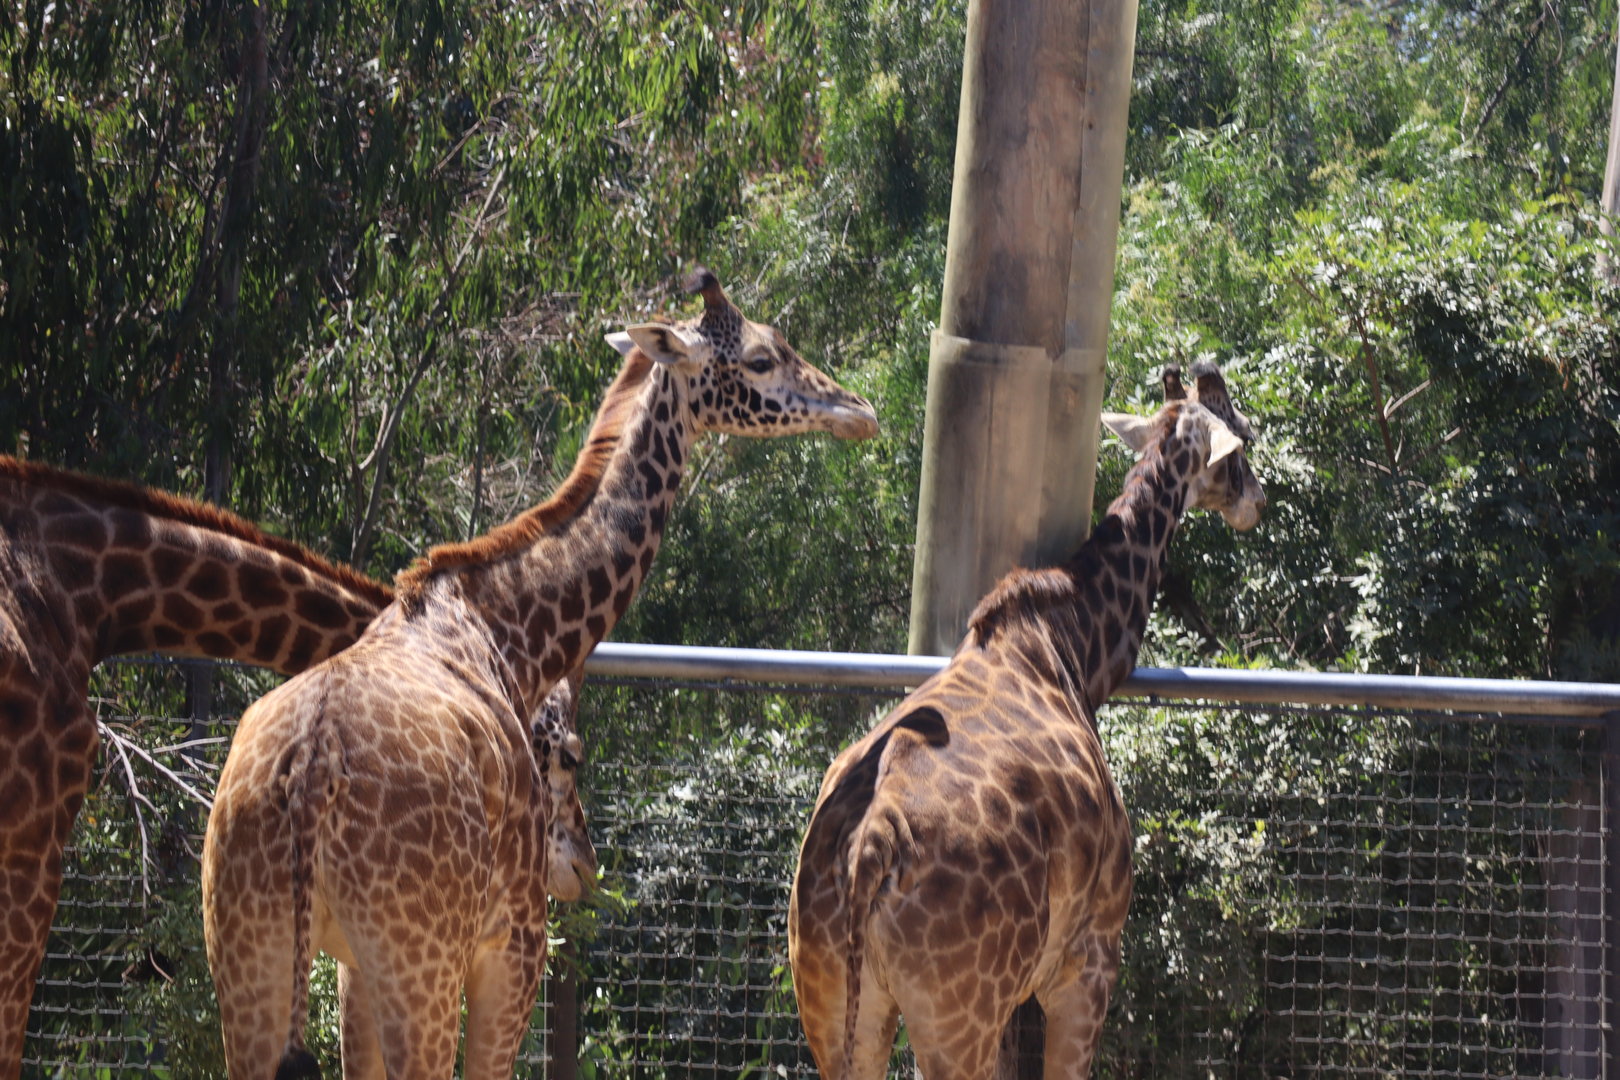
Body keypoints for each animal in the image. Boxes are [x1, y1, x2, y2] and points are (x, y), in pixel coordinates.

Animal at [201, 268, 879, 1080]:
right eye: (759, 358)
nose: (861, 411)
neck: (508, 627)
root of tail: (303, 784)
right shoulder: (513, 937)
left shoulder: (350, 966)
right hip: (417, 959)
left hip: (251, 950)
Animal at [788, 361, 1265, 1079]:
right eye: (1242, 436)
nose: (1257, 503)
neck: (1072, 645)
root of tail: (869, 847)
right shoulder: (1090, 955)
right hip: (958, 1015)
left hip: (832, 996)